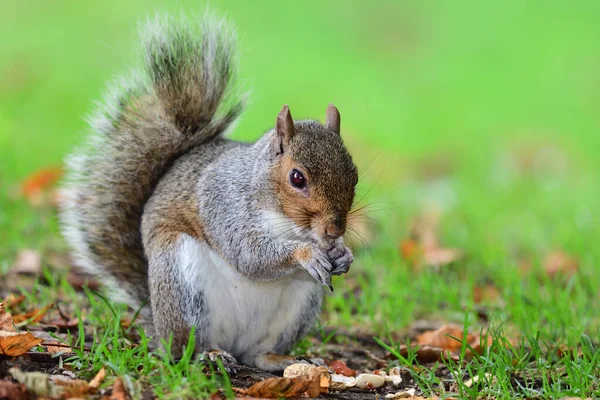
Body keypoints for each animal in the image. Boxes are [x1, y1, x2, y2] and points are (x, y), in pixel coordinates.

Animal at [58, 12, 356, 370]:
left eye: (354, 175)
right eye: (297, 178)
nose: (334, 229)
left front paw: (343, 253)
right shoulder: (224, 204)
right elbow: (249, 254)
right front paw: (306, 254)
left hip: (300, 304)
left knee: (257, 354)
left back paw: (281, 359)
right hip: (182, 282)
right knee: (187, 348)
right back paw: (209, 354)